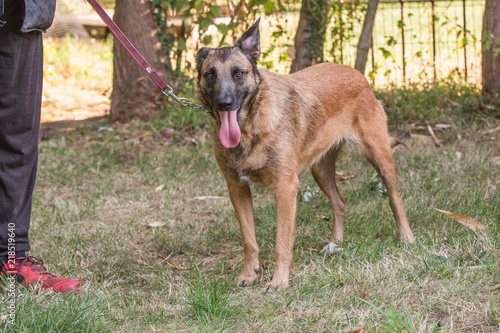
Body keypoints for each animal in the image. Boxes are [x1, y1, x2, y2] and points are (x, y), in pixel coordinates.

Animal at [197, 18, 416, 288]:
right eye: (210, 75)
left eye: (239, 73)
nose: (224, 103)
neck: (251, 125)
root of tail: (356, 74)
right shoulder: (237, 189)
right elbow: (249, 240)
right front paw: (250, 274)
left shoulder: (285, 189)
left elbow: (282, 242)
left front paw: (279, 282)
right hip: (320, 170)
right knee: (340, 201)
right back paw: (335, 244)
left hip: (379, 157)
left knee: (395, 197)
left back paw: (406, 237)